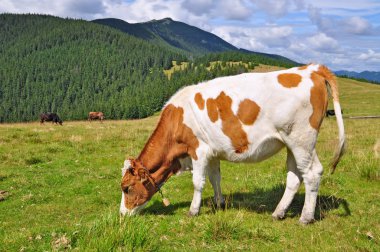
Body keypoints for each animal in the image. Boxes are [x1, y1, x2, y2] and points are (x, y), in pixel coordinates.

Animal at [120, 63, 346, 224]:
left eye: (126, 188)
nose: (122, 214)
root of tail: (311, 68)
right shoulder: (212, 152)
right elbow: (215, 179)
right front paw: (219, 203)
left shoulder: (198, 150)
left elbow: (198, 182)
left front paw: (193, 210)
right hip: (294, 143)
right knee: (294, 177)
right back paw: (278, 213)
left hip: (301, 139)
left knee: (312, 173)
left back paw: (305, 217)